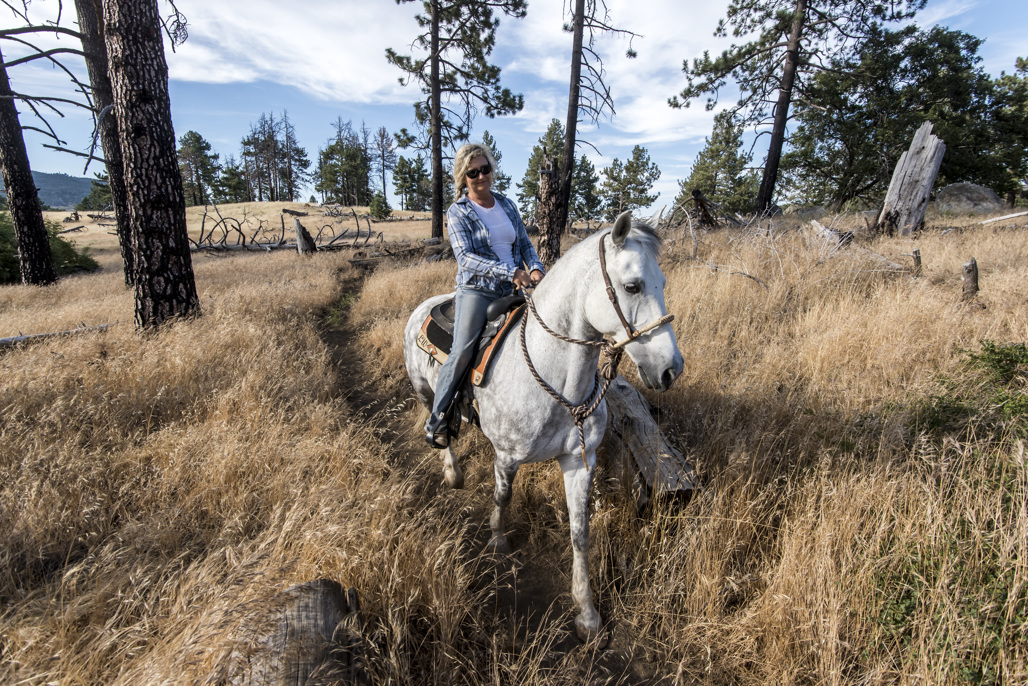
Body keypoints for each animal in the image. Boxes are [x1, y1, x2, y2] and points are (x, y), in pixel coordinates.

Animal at [402, 210, 684, 643]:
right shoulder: (507, 456)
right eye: (632, 286)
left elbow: (580, 532)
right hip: (422, 391)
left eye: (663, 282)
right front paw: (497, 541)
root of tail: (427, 305)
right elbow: (502, 498)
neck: (559, 382)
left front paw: (587, 613)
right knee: (440, 426)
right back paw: (452, 470)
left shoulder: (580, 462)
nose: (671, 369)